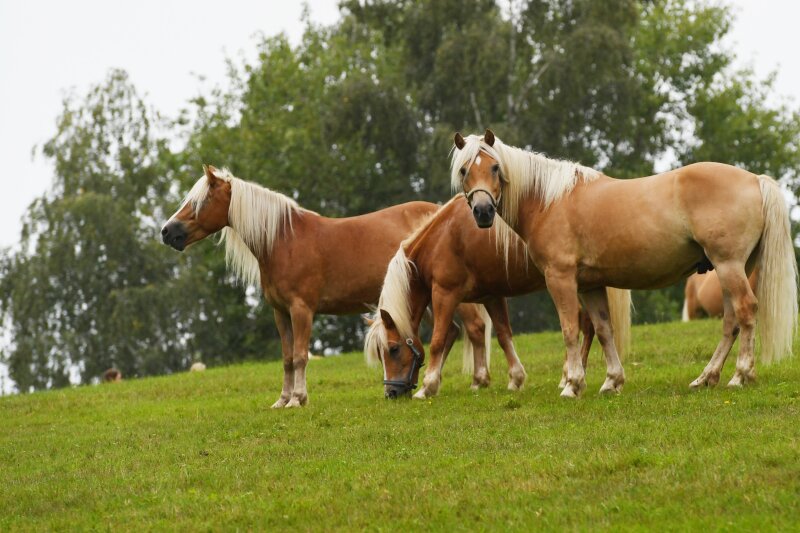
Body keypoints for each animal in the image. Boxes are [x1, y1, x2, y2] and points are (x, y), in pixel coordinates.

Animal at [161, 164, 488, 406]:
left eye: (199, 202)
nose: (167, 231)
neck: (283, 241)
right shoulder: (281, 313)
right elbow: (287, 358)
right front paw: (282, 399)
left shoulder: (301, 310)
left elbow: (301, 356)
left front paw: (298, 399)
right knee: (451, 333)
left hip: (449, 293)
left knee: (473, 329)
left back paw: (477, 382)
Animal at [362, 193, 632, 396]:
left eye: (393, 349)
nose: (391, 392)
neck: (442, 238)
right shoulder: (491, 296)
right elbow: (503, 335)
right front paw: (515, 379)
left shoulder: (444, 294)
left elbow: (438, 340)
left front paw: (428, 387)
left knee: (586, 326)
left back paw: (570, 378)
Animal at [454, 127, 796, 396]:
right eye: (463, 171)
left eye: (495, 167)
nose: (483, 211)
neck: (548, 201)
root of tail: (755, 180)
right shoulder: (590, 285)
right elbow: (604, 329)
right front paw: (611, 382)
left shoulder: (560, 279)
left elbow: (569, 330)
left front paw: (572, 384)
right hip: (732, 269)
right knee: (730, 321)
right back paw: (706, 378)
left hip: (729, 266)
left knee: (746, 311)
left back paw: (740, 375)